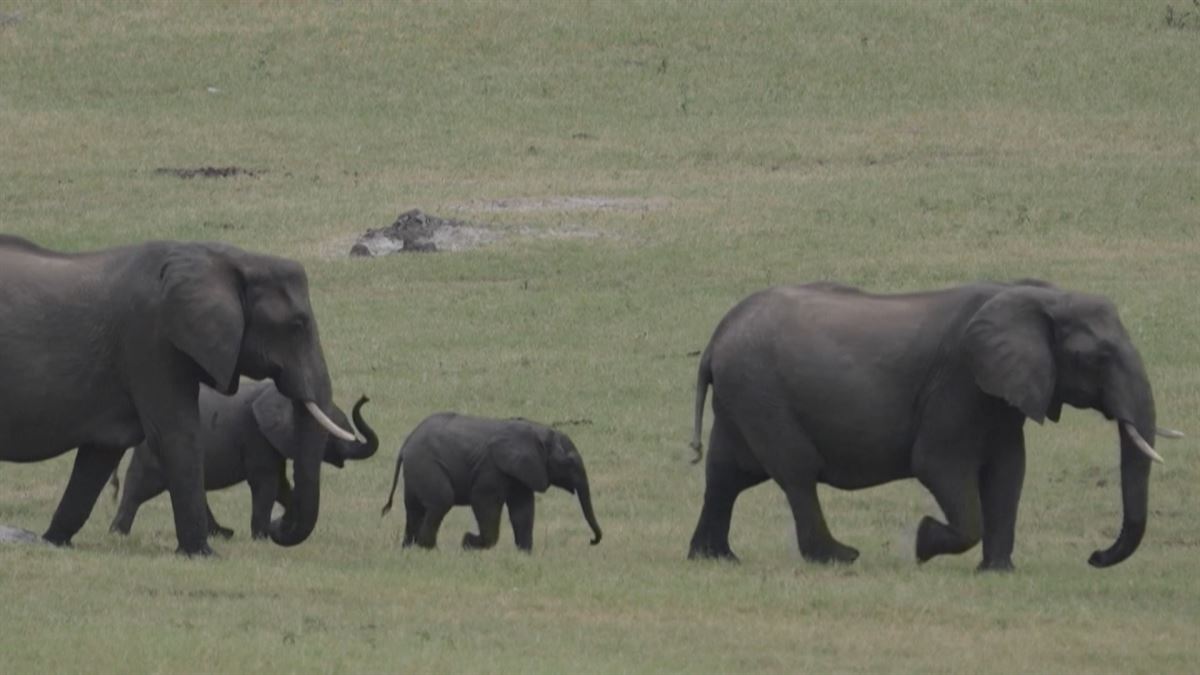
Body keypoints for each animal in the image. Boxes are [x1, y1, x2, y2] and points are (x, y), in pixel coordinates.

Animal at [111, 381, 379, 538]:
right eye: (332, 434)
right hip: (153, 454)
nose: (365, 398)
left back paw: (221, 534)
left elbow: (281, 486)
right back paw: (118, 533)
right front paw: (263, 536)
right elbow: (267, 484)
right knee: (139, 488)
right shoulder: (256, 437)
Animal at [379, 413, 600, 550]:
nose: (591, 540)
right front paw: (467, 542)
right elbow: (485, 504)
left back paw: (410, 549)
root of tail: (405, 445)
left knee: (415, 510)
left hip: (416, 472)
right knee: (441, 501)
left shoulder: (520, 472)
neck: (536, 430)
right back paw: (431, 550)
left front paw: (525, 554)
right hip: (427, 466)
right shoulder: (490, 470)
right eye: (569, 462)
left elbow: (523, 510)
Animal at [686, 277, 1180, 566]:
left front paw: (998, 572)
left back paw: (716, 559)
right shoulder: (959, 382)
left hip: (743, 397)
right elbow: (939, 465)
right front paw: (922, 544)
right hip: (761, 393)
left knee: (725, 475)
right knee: (796, 473)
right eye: (1097, 357)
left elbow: (1008, 472)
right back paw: (839, 558)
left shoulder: (999, 395)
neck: (1038, 295)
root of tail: (714, 339)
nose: (1095, 556)